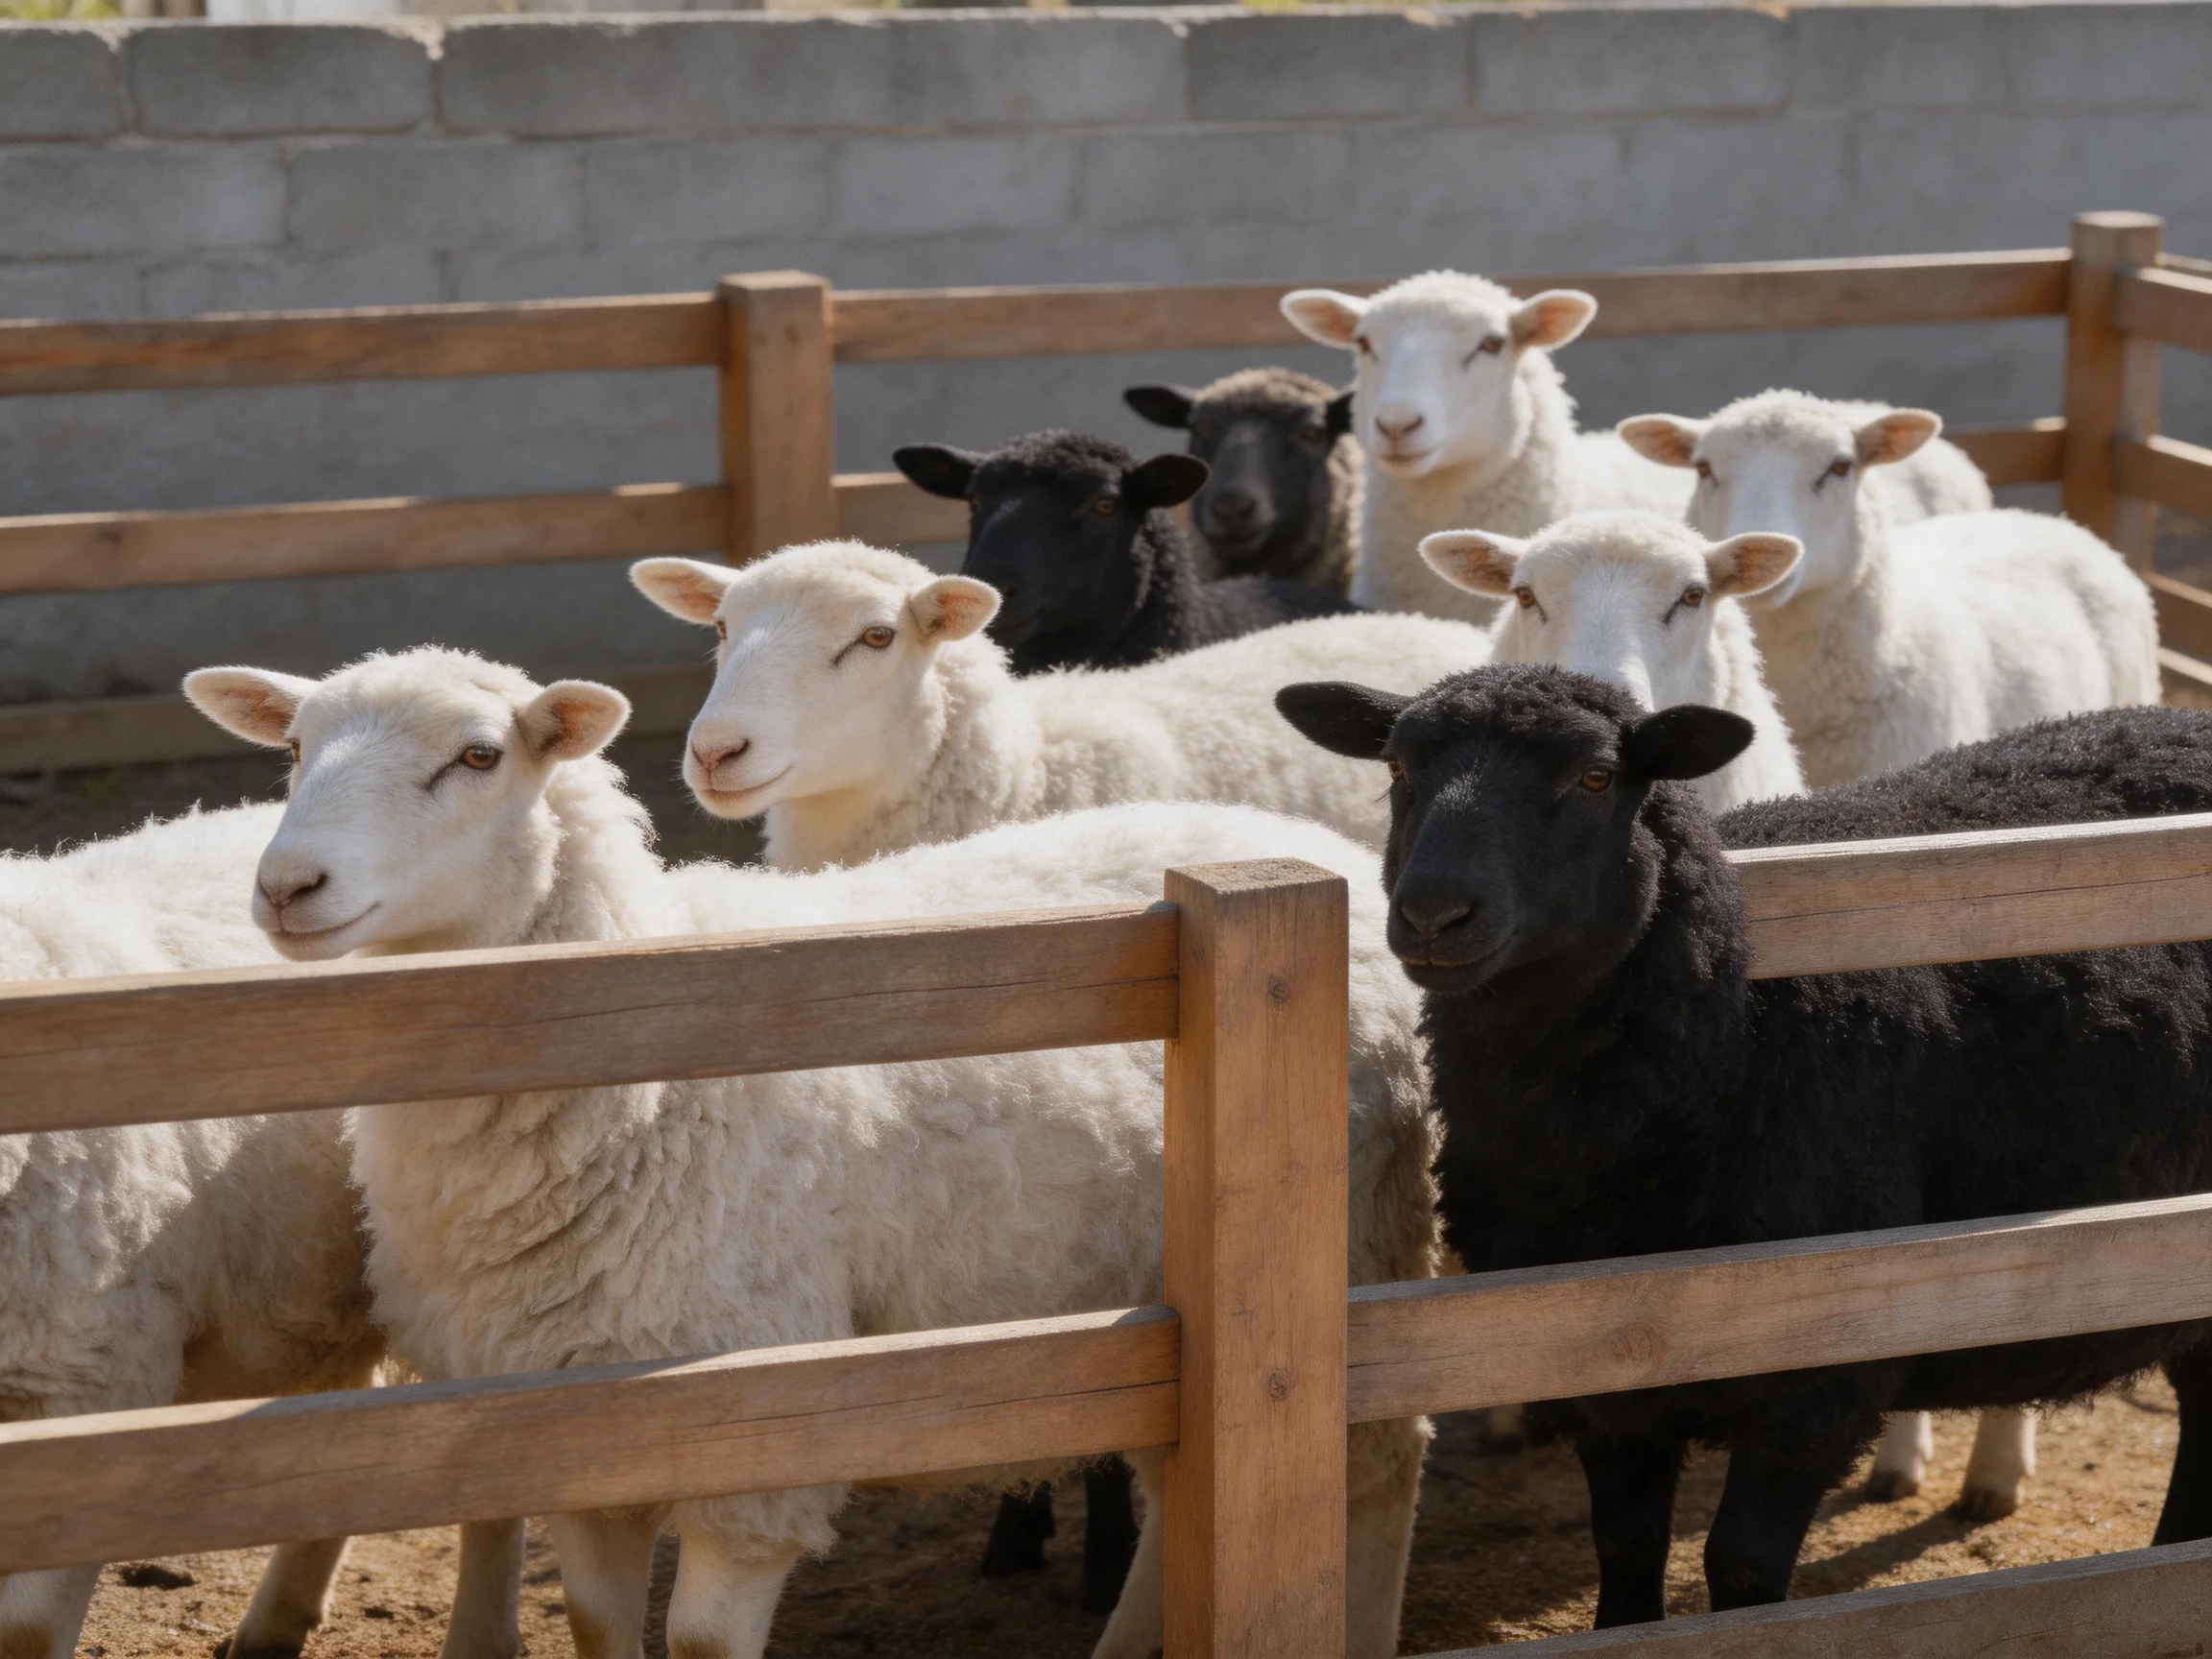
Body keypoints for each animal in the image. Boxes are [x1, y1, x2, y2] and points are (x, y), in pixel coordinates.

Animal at [182, 645, 1442, 1659]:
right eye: (291, 748)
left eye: (479, 755)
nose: (286, 886)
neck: (629, 1076)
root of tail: (1302, 847)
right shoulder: (576, 1423)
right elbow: (597, 1624)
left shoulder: (758, 1425)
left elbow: (697, 1641)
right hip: (1158, 1309)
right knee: (1183, 1497)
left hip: (1351, 1247)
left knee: (1383, 1461)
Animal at [1277, 665, 2212, 1627]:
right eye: (1397, 768)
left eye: (1596, 778)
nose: (1433, 915)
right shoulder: (1597, 1357)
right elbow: (1627, 1546)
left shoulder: (1818, 1367)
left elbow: (1745, 1570)